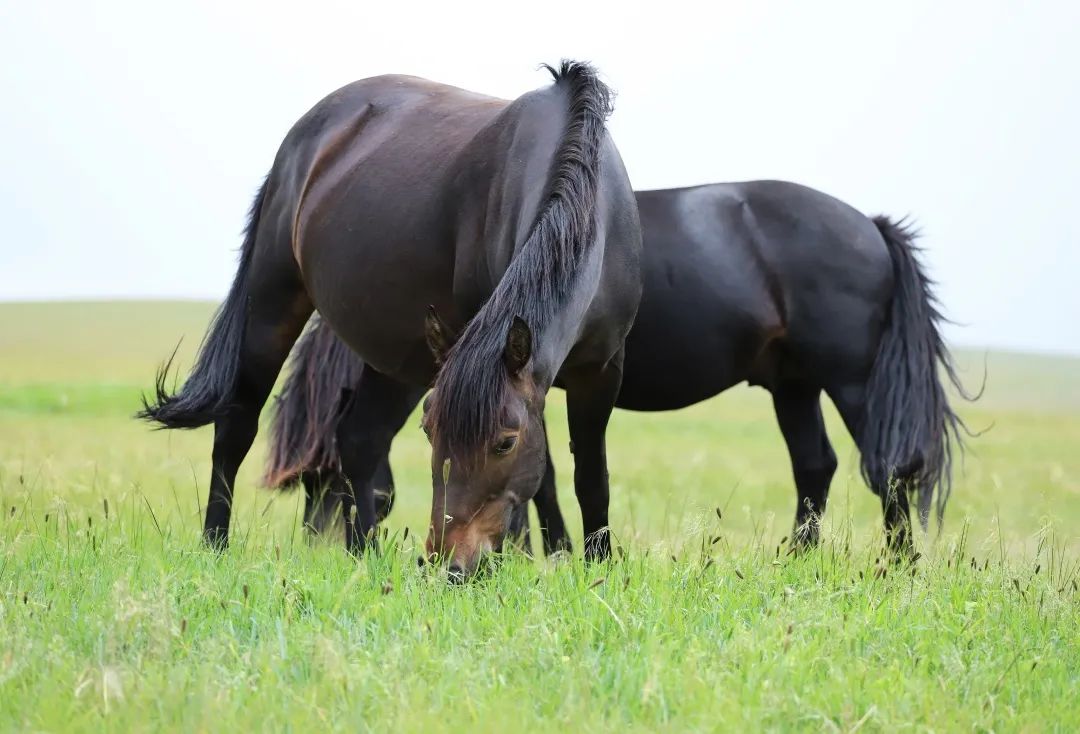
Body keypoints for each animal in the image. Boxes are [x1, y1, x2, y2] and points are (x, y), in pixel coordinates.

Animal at [135, 60, 639, 574]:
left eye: (505, 442)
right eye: (429, 431)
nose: (448, 565)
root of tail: (303, 137)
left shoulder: (601, 371)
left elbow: (589, 475)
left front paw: (598, 564)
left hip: (395, 355)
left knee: (359, 439)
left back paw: (364, 553)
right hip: (272, 303)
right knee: (237, 425)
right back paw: (215, 543)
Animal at [265, 180, 967, 552]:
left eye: (318, 477)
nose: (317, 552)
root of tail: (869, 225)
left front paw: (541, 550)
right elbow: (545, 474)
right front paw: (545, 549)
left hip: (850, 382)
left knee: (889, 468)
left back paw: (896, 569)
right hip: (792, 383)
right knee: (815, 466)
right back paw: (796, 560)